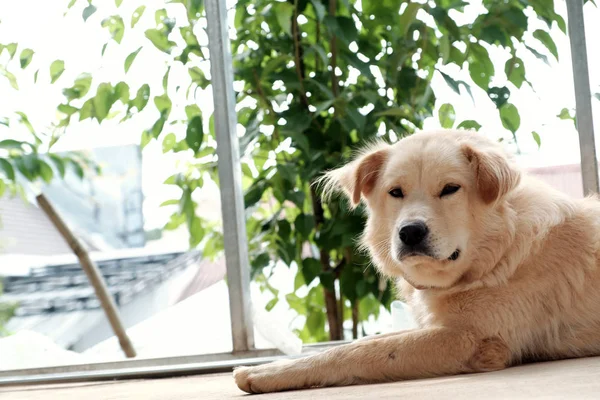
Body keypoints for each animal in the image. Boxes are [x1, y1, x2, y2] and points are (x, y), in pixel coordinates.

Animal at [232, 129, 600, 394]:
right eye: (396, 192)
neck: (498, 252)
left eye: (450, 189)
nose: (410, 232)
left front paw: (265, 373)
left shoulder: (471, 338)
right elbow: (363, 342)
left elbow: (357, 353)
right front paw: (272, 366)